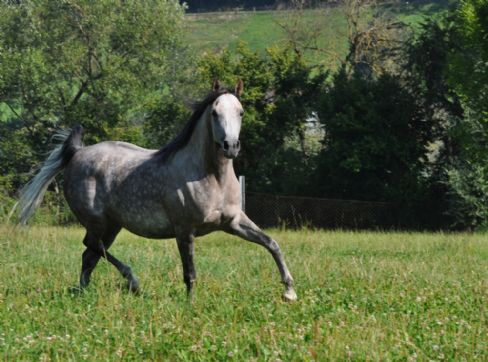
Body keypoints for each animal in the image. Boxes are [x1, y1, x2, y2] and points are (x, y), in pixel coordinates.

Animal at [14, 80, 298, 302]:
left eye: (241, 112)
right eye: (215, 113)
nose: (230, 146)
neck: (211, 177)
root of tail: (76, 153)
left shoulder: (234, 222)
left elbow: (272, 244)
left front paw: (289, 292)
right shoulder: (184, 230)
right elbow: (190, 271)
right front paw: (190, 304)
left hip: (112, 226)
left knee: (89, 255)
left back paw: (84, 293)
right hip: (97, 222)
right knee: (92, 247)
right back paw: (132, 281)